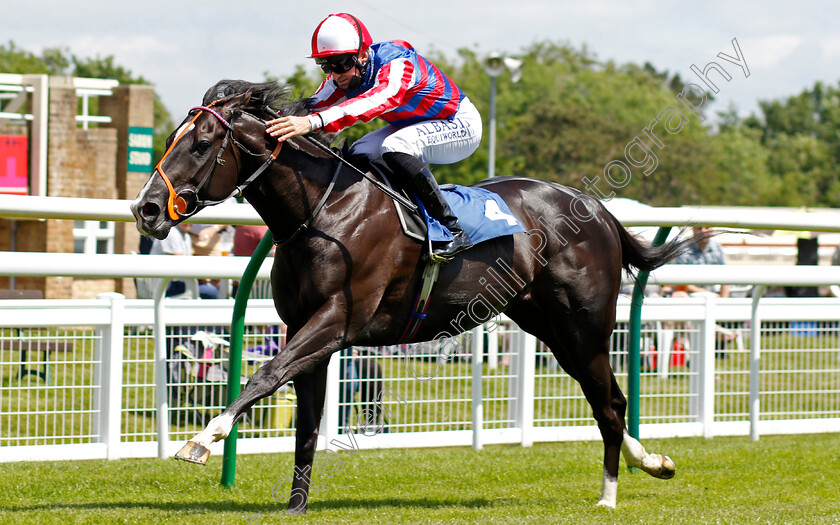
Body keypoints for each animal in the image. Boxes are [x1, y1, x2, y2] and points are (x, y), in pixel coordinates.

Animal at [131, 80, 684, 510]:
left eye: (201, 145)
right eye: (172, 139)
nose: (146, 209)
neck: (325, 212)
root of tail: (598, 209)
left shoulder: (337, 320)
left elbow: (266, 374)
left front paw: (201, 440)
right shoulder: (302, 325)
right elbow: (305, 421)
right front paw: (295, 505)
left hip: (583, 329)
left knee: (608, 404)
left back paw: (609, 495)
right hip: (548, 327)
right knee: (609, 399)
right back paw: (652, 461)